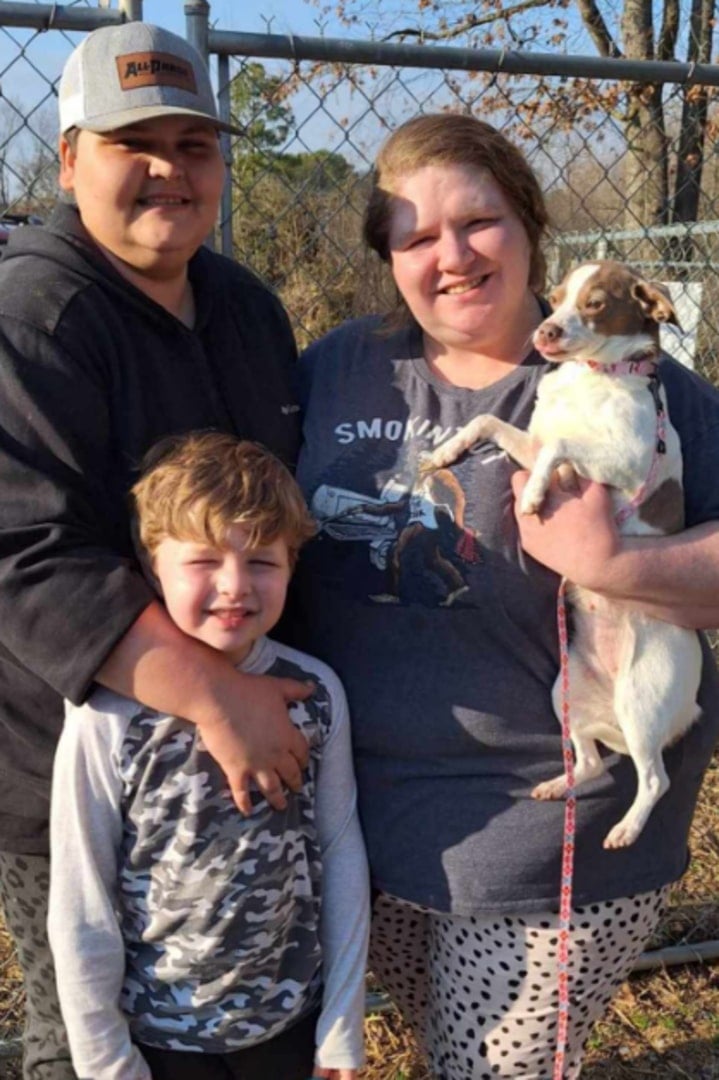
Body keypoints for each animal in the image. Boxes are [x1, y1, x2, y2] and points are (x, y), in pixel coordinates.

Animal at [423, 259, 695, 842]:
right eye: (556, 295)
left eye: (595, 304)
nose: (544, 333)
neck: (593, 375)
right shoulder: (528, 440)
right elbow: (491, 424)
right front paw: (444, 451)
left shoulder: (624, 459)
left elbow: (561, 446)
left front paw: (530, 494)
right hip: (564, 692)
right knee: (588, 763)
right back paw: (557, 785)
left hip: (642, 700)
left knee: (654, 778)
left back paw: (627, 829)